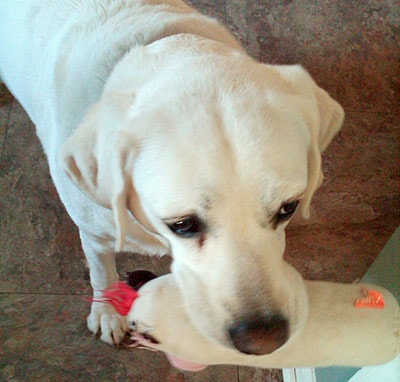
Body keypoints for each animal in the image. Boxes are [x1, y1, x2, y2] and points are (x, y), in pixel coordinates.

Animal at [0, 0, 344, 356]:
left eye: (288, 208)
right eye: (181, 225)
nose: (263, 341)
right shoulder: (94, 233)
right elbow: (101, 271)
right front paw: (108, 313)